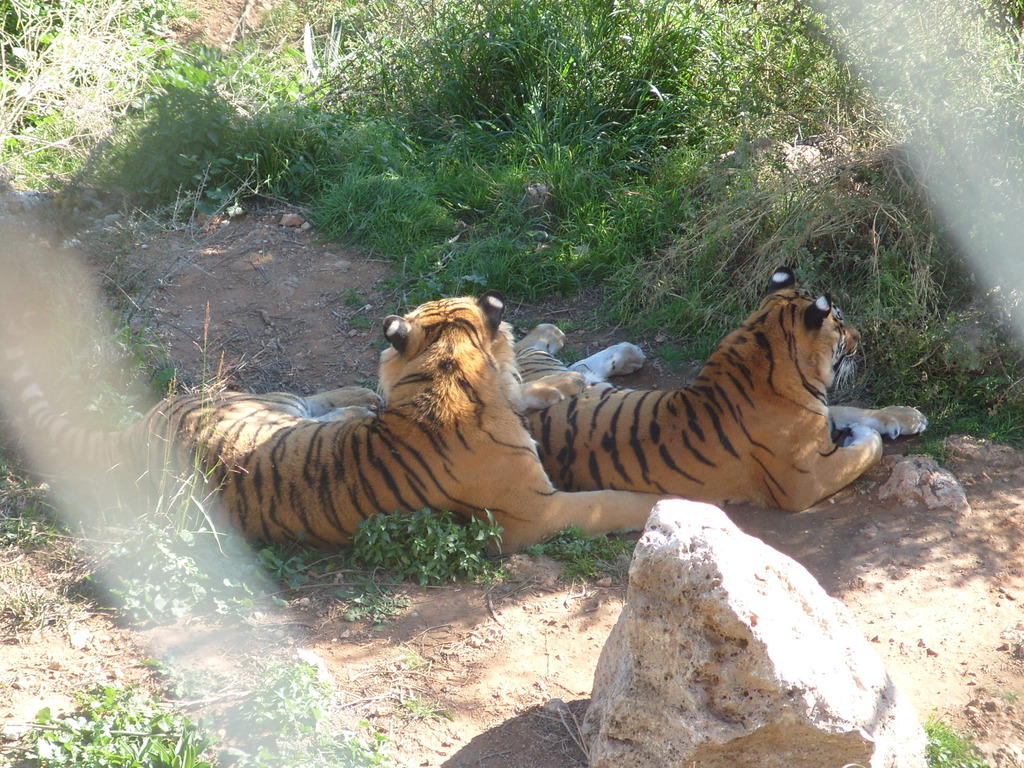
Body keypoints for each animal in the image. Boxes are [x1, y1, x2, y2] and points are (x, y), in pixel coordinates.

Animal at [2, 291, 669, 550]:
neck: (444, 373)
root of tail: (138, 429)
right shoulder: (536, 514)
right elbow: (610, 501)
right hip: (256, 405)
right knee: (317, 398)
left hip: (272, 405)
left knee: (323, 398)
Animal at [515, 267, 928, 512]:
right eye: (841, 324)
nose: (861, 338)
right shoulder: (807, 480)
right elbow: (866, 452)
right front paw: (861, 436)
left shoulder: (819, 414)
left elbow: (852, 408)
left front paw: (907, 416)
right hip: (539, 371)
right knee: (533, 349)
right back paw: (551, 333)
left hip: (589, 385)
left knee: (581, 368)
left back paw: (629, 353)